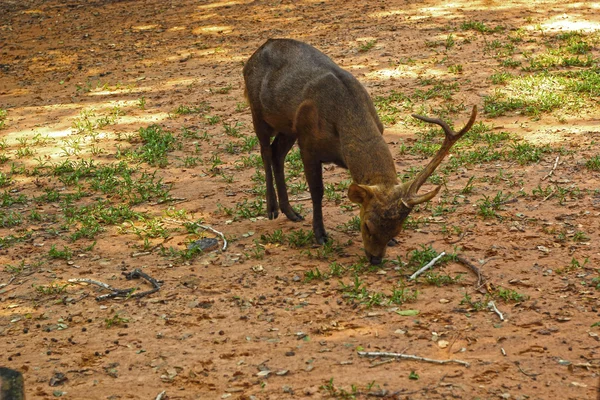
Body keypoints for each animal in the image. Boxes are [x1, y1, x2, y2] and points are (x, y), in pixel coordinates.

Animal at [241, 39, 476, 266]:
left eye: (397, 230)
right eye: (367, 225)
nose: (375, 259)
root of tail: (254, 55)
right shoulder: (307, 143)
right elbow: (317, 192)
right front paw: (320, 235)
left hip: (287, 127)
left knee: (277, 153)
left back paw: (290, 212)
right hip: (258, 111)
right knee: (265, 151)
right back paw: (272, 209)